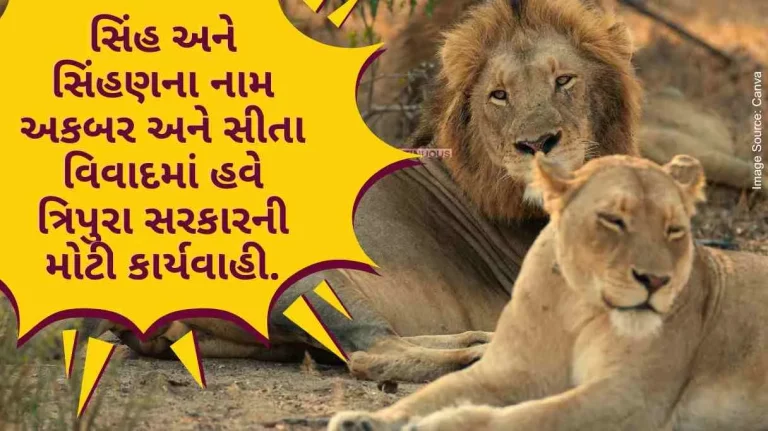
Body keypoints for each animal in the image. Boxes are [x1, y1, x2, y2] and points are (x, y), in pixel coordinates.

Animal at [56, 0, 642, 383]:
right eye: (499, 95)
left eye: (564, 81)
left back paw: (482, 341)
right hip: (316, 277)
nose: (537, 144)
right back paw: (485, 355)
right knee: (370, 351)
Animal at [328, 153, 768, 431]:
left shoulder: (632, 398)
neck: (575, 304)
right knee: (373, 350)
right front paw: (366, 421)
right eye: (612, 220)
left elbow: (522, 418)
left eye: (675, 230)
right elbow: (434, 395)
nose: (656, 280)